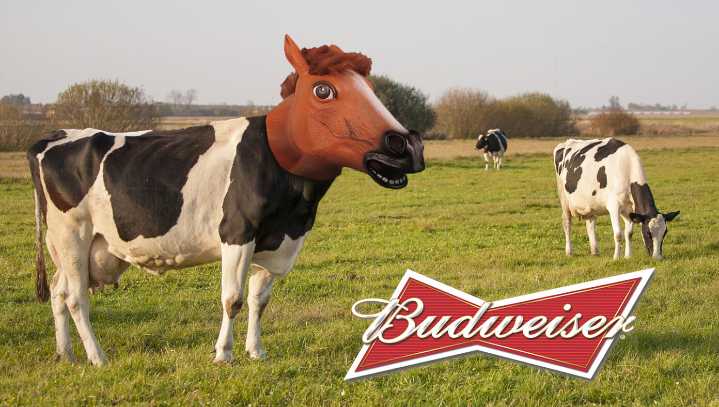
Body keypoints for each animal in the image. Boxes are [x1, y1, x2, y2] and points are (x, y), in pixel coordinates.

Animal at [27, 35, 425, 366]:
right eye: (323, 91)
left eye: (370, 87)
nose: (407, 144)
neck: (296, 204)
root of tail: (54, 136)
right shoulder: (237, 232)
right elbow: (232, 298)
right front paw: (224, 354)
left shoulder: (278, 241)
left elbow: (259, 300)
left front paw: (256, 351)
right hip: (71, 235)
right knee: (76, 298)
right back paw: (97, 357)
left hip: (75, 246)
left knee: (59, 293)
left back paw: (66, 355)